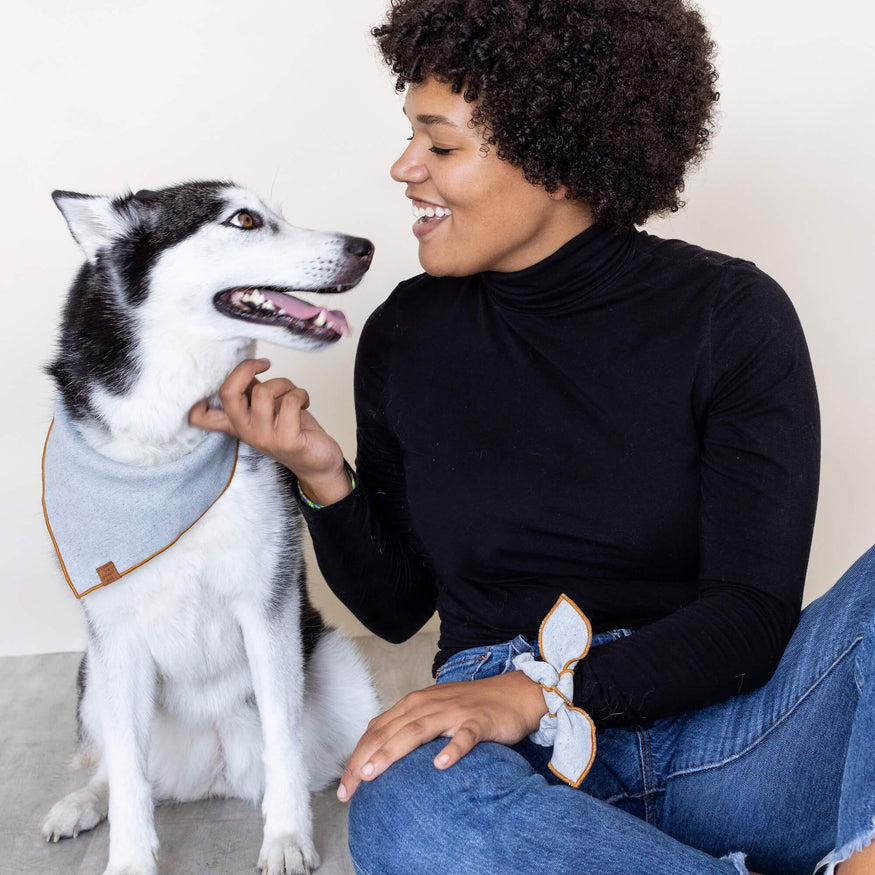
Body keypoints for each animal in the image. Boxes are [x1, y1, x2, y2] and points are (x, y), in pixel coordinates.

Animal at [40, 181, 381, 875]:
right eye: (245, 220)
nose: (364, 247)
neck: (169, 445)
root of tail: (213, 777)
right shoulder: (115, 633)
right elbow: (129, 772)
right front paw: (129, 860)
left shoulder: (267, 608)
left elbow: (282, 735)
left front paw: (286, 837)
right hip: (91, 675)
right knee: (117, 768)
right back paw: (82, 804)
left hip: (338, 664)